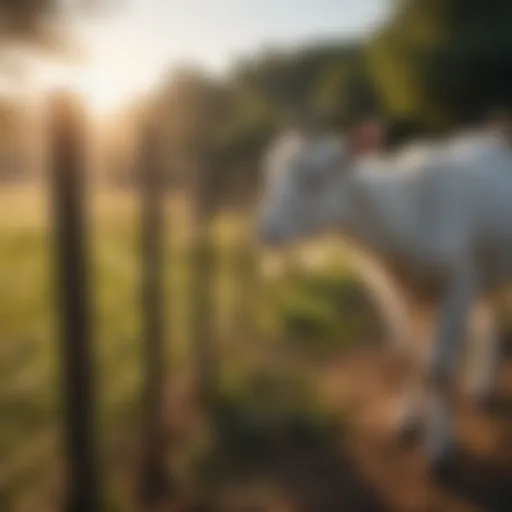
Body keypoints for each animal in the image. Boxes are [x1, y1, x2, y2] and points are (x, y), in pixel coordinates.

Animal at [258, 127, 512, 468]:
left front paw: (438, 447)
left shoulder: (459, 279)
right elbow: (409, 355)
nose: (267, 232)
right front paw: (408, 421)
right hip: (485, 266)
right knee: (488, 315)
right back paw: (481, 385)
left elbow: (439, 368)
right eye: (271, 178)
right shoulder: (400, 291)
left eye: (316, 179)